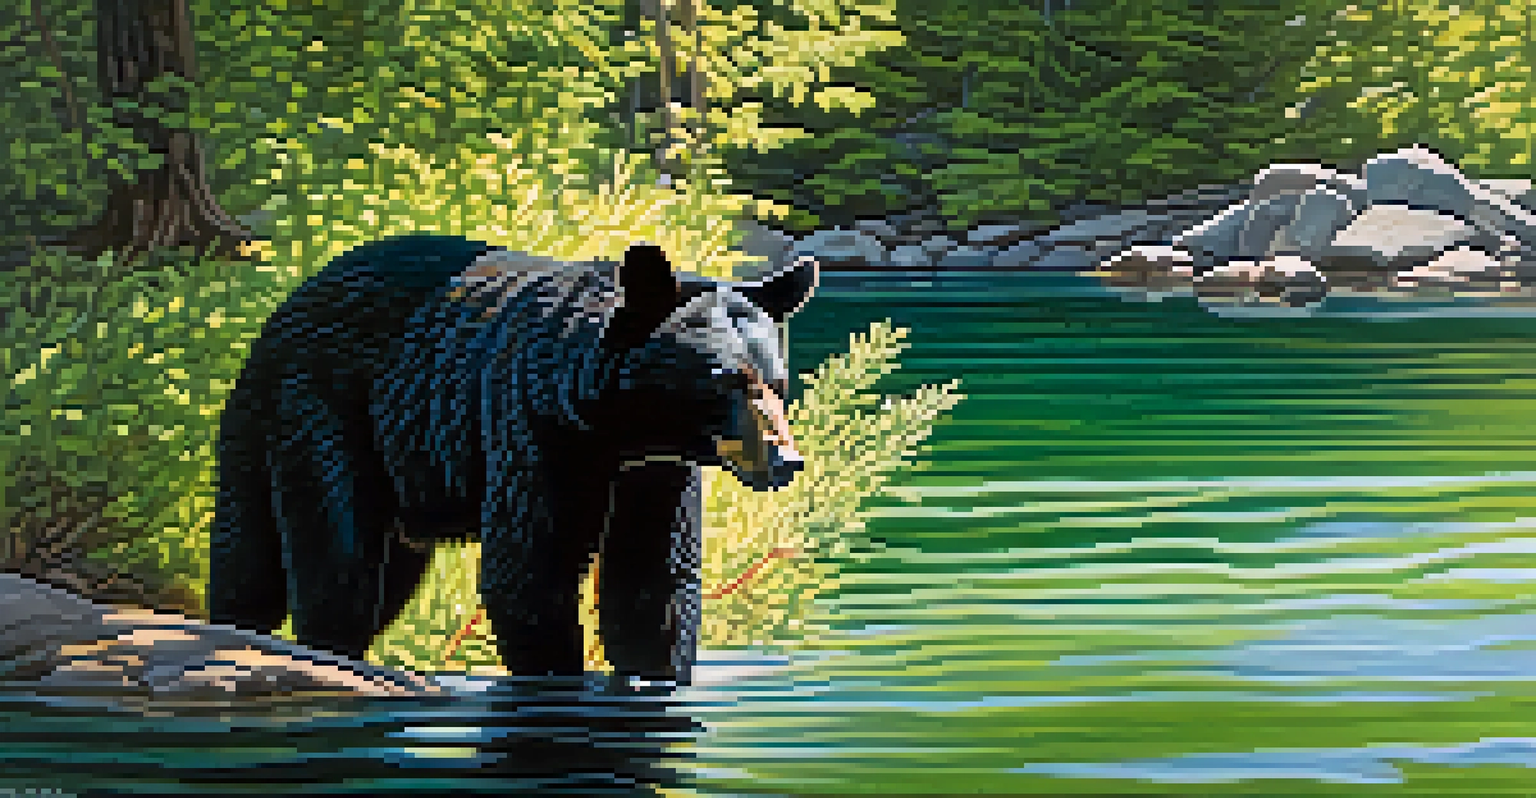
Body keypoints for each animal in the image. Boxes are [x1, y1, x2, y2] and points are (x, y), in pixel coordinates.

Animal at [208, 233, 818, 684]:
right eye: (728, 380)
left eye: (778, 382)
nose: (785, 459)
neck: (621, 425)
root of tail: (276, 316)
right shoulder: (533, 427)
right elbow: (529, 568)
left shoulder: (656, 472)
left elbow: (652, 577)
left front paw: (653, 674)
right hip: (316, 413)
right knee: (328, 556)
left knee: (290, 560)